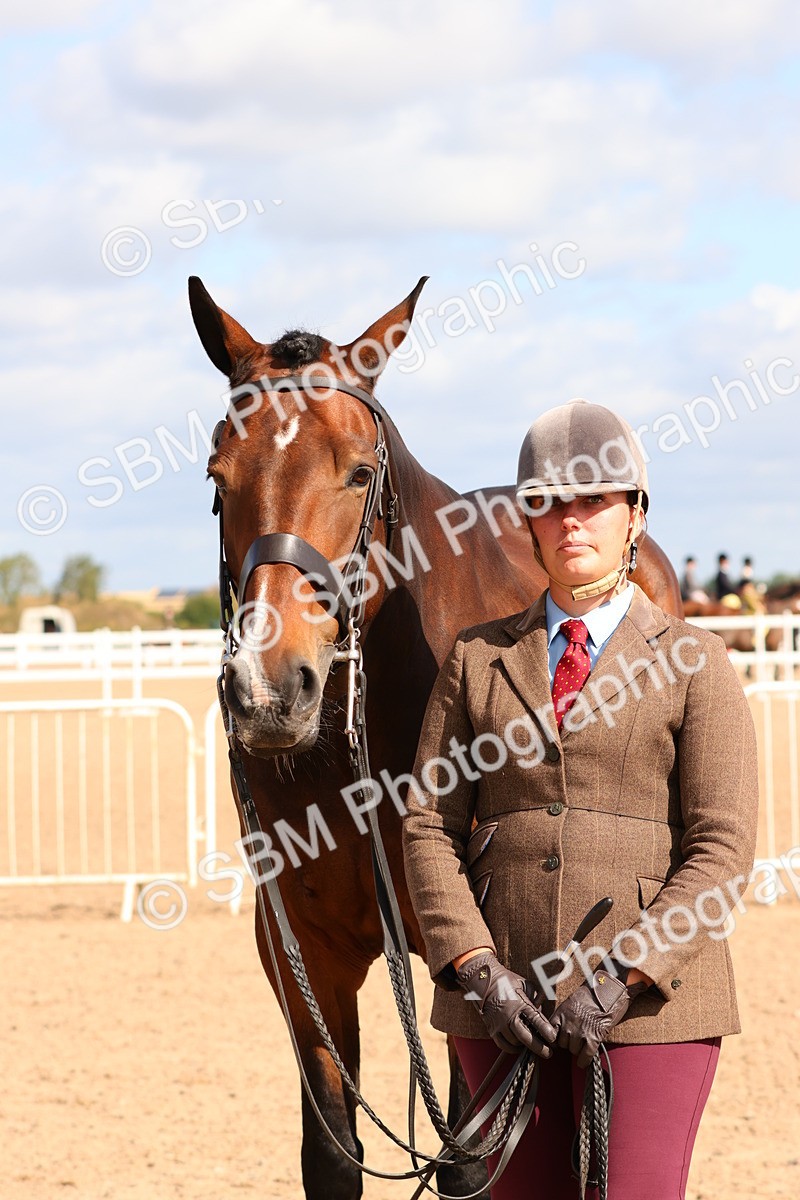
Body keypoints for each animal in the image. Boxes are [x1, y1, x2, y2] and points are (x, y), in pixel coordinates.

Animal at [189, 274, 683, 1200]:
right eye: (217, 473)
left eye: (357, 472)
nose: (269, 691)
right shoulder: (300, 955)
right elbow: (332, 1152)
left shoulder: (469, 957)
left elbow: (467, 1158)